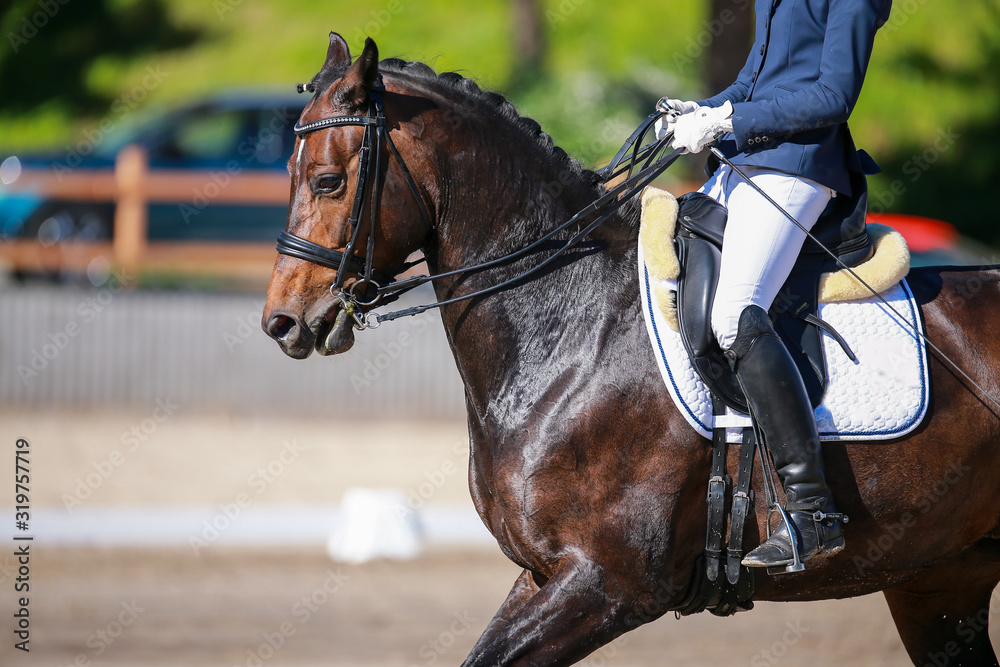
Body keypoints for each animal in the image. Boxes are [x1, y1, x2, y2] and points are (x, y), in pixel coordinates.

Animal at [263, 33, 1000, 666]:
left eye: (327, 181)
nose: (283, 321)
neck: (570, 322)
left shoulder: (608, 583)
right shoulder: (545, 574)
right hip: (939, 580)